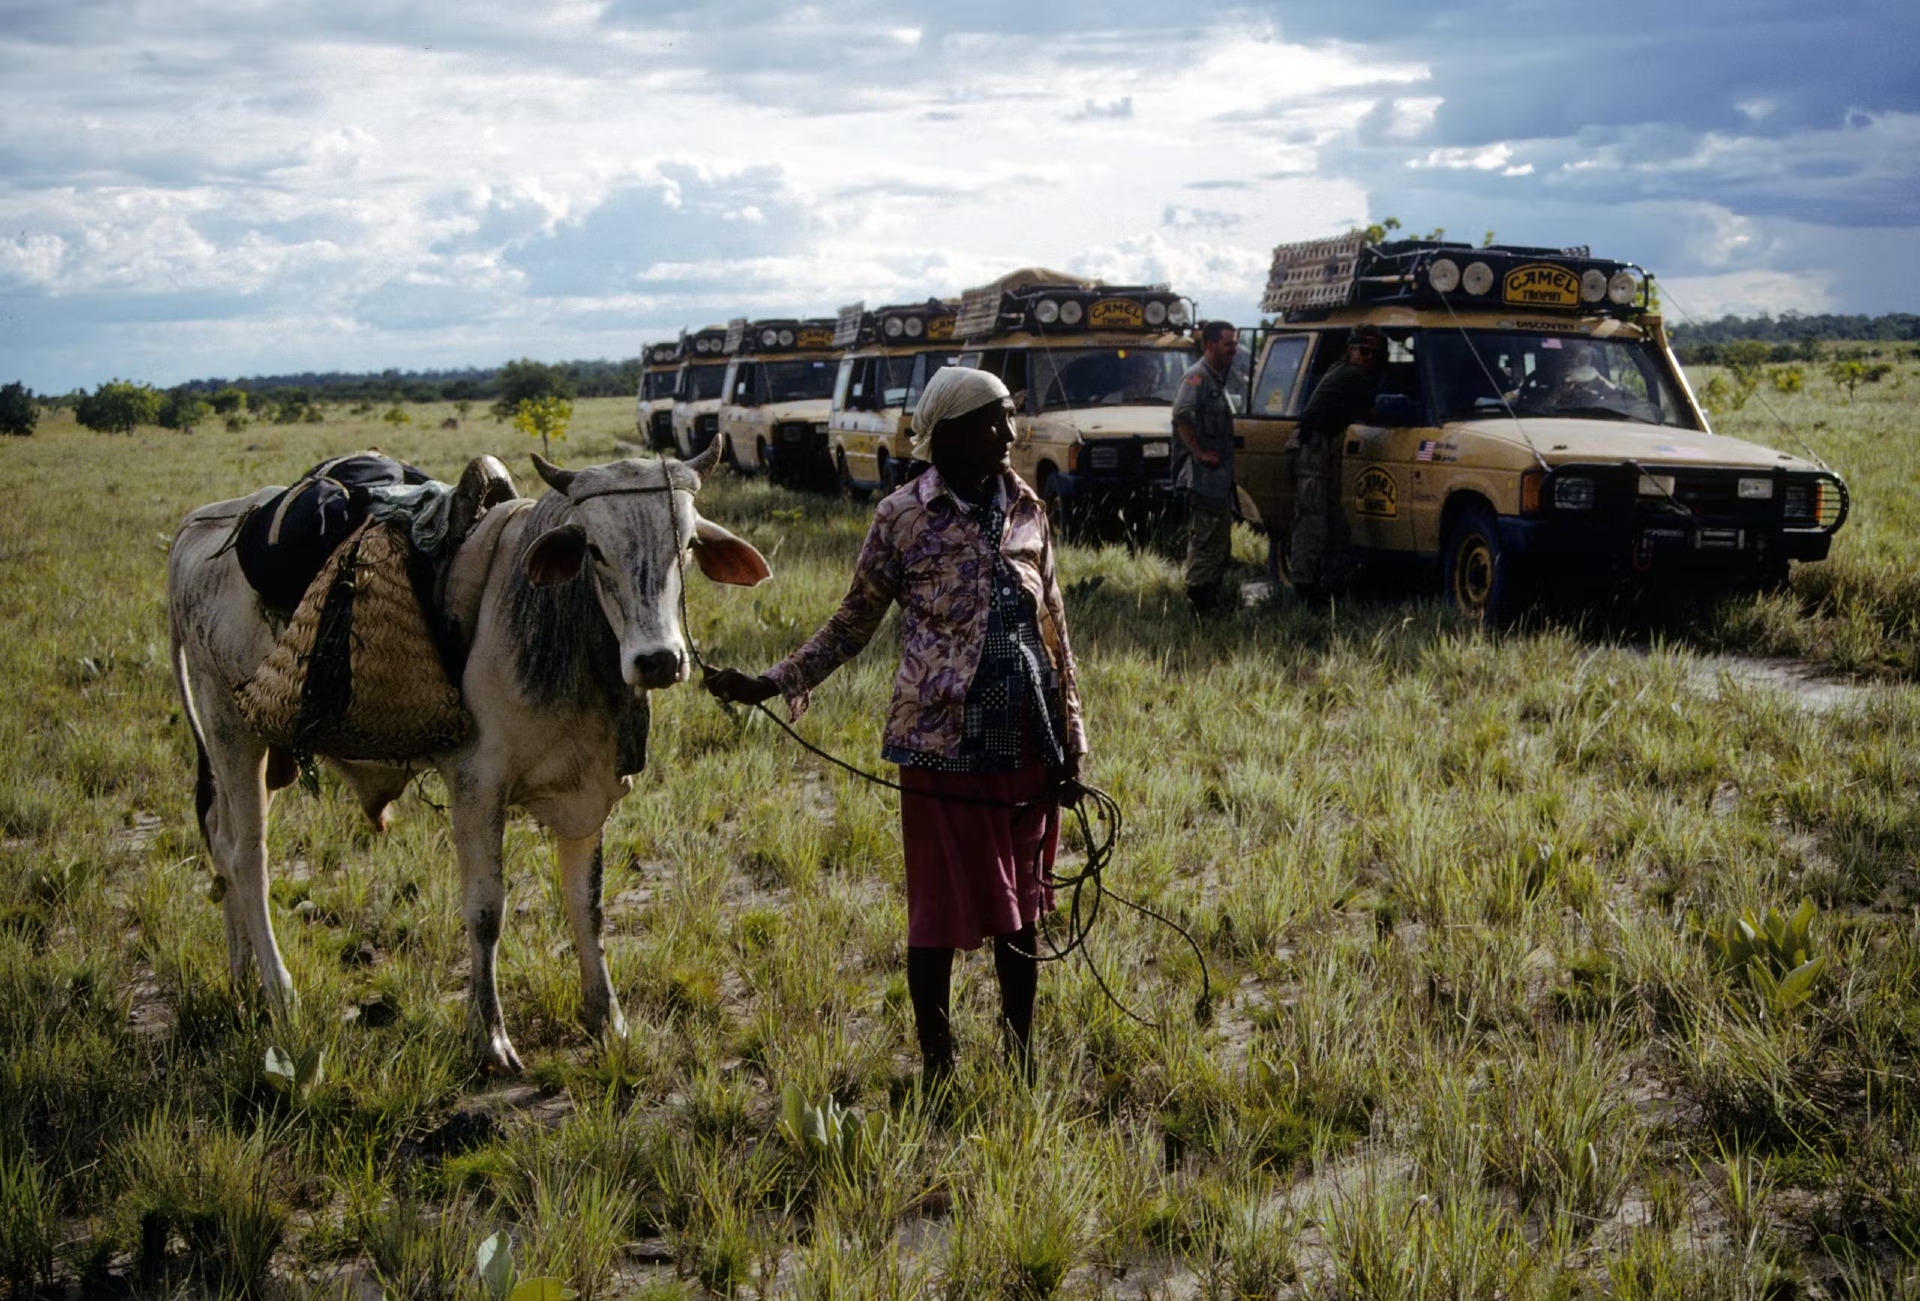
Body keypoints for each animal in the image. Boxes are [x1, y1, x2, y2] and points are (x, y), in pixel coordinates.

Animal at [165, 443, 764, 1074]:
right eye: (595, 550)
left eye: (688, 545)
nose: (658, 660)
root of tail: (200, 524)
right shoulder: (477, 785)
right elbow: (485, 910)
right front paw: (489, 1036)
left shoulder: (588, 793)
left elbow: (589, 905)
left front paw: (608, 1019)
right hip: (233, 733)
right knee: (246, 858)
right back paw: (280, 993)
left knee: (221, 840)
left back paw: (241, 981)